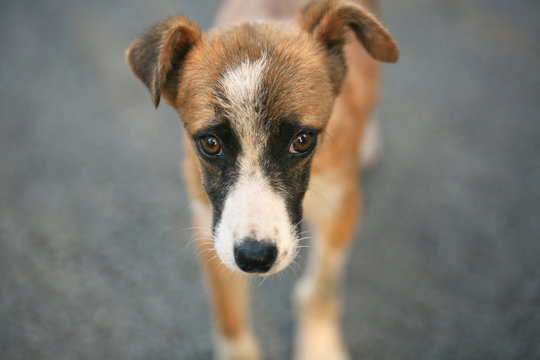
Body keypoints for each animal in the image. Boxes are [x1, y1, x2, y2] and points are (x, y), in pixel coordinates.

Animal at [125, 0, 396, 358]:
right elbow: (228, 317)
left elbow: (320, 290)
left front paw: (319, 347)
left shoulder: (342, 207)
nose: (255, 258)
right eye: (210, 143)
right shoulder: (209, 227)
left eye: (302, 141)